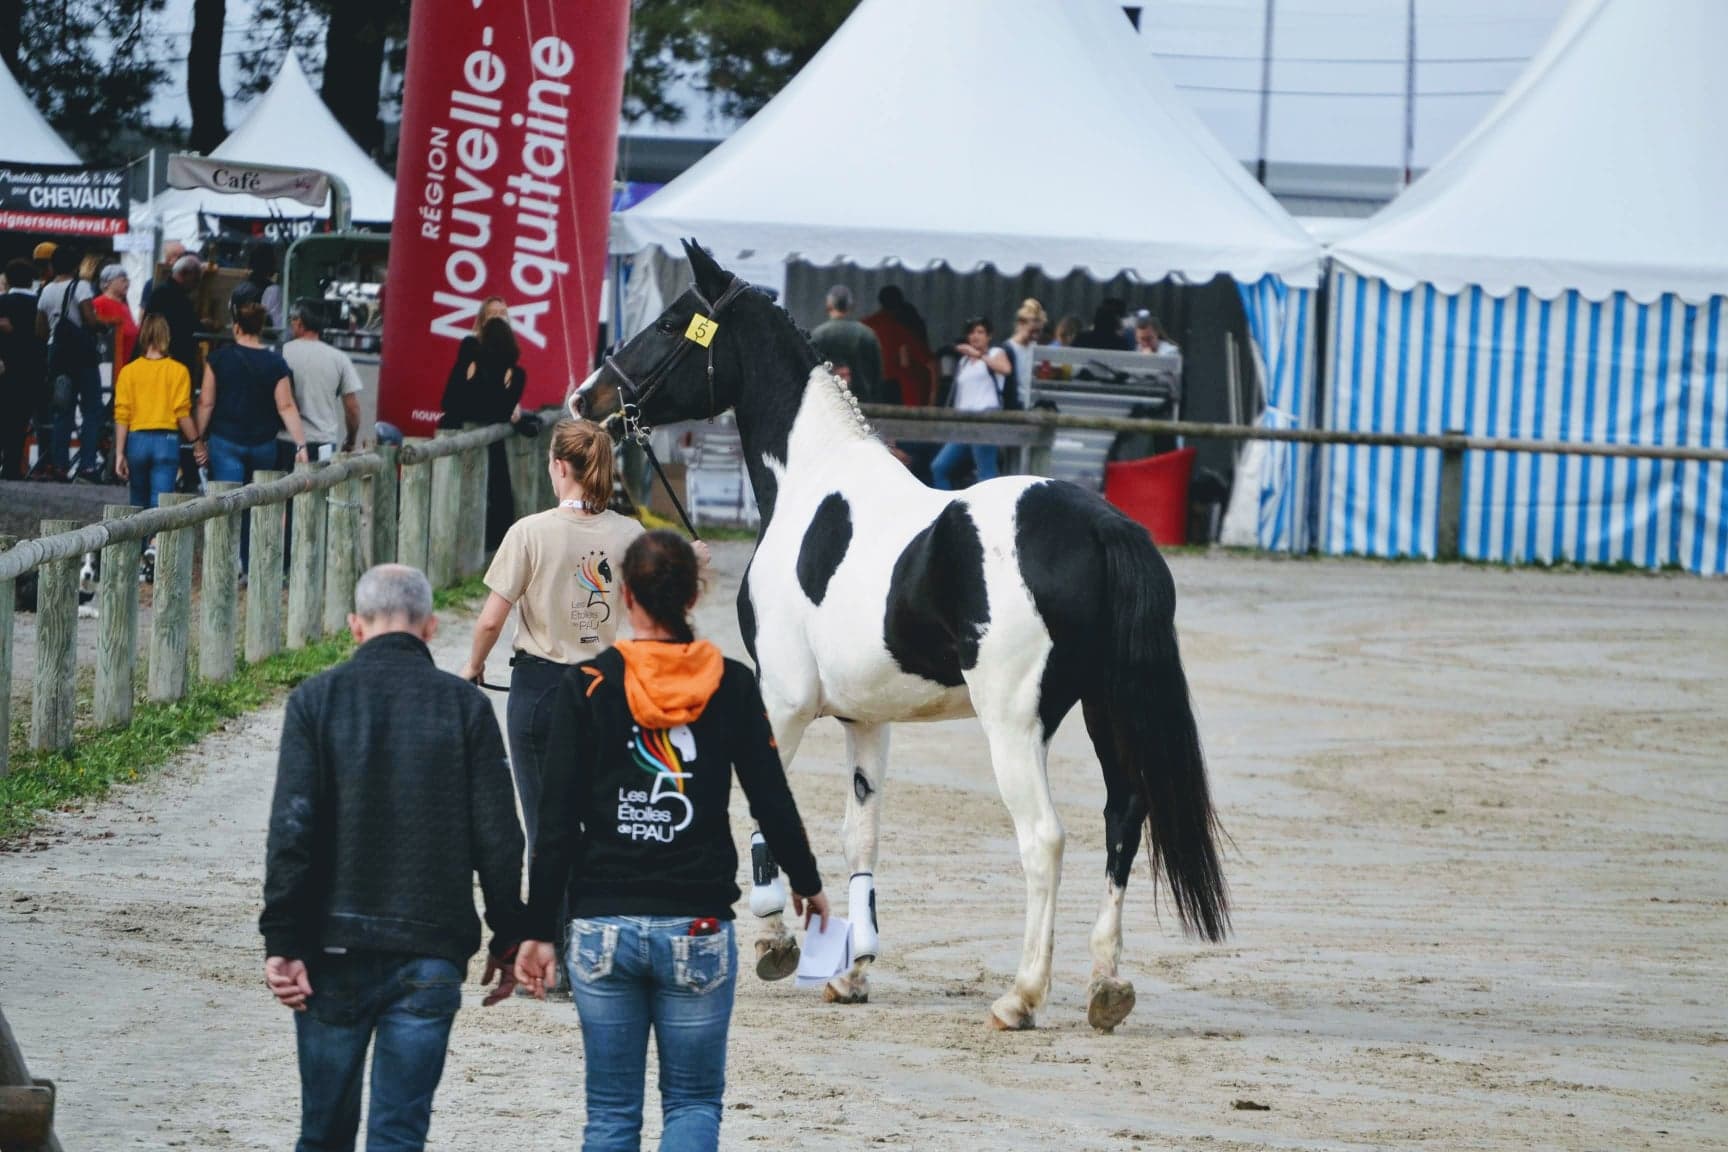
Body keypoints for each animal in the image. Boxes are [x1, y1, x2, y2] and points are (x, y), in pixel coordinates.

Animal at [573, 241, 1223, 1029]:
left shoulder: (782, 702)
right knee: (1124, 819)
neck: (812, 485)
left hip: (1014, 722)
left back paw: (1020, 995)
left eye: (671, 322)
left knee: (1044, 838)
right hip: (1108, 709)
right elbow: (862, 834)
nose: (586, 400)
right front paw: (852, 972)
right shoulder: (865, 718)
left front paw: (774, 942)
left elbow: (762, 806)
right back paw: (1106, 986)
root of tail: (1102, 526)